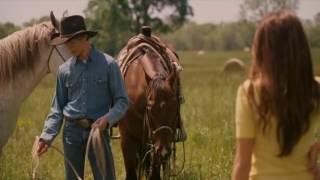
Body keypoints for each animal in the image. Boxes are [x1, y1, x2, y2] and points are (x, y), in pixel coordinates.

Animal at [117, 30, 182, 179]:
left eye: (175, 107)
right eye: (150, 109)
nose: (164, 151)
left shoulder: (156, 141)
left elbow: (154, 172)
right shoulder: (127, 138)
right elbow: (131, 172)